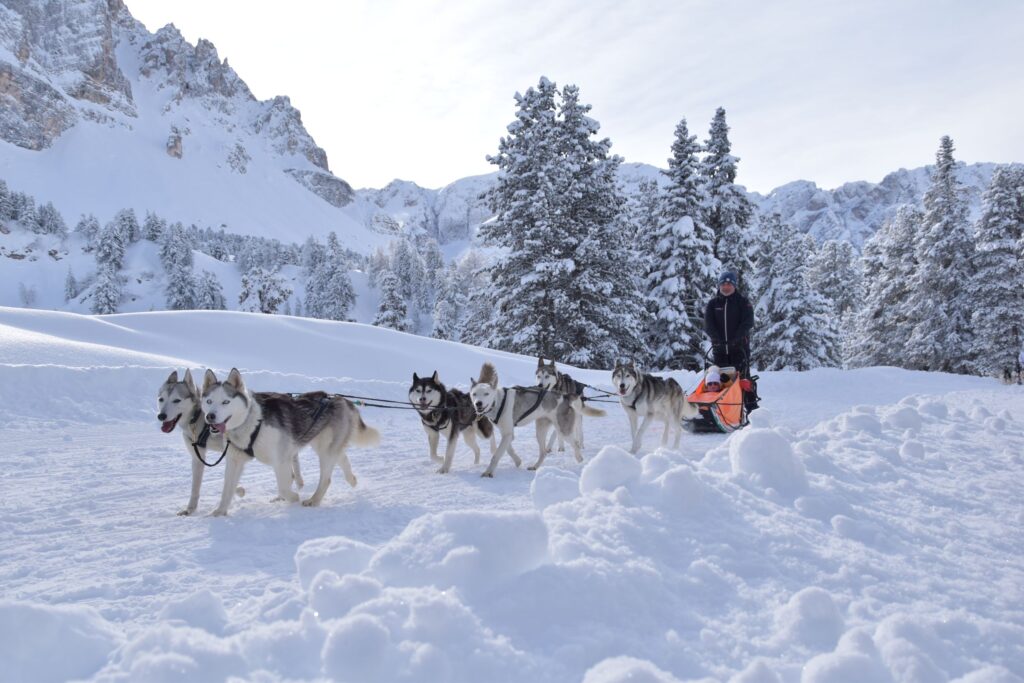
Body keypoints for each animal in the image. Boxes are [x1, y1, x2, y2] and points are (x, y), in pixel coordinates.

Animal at [201, 370, 378, 516]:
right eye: (209, 401)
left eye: (225, 402)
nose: (210, 416)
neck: (252, 422)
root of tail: (341, 399)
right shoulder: (235, 460)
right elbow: (227, 489)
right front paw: (219, 512)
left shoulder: (281, 460)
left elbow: (285, 487)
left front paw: (294, 497)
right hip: (323, 445)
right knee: (342, 458)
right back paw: (352, 479)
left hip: (324, 450)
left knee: (326, 479)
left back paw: (313, 500)